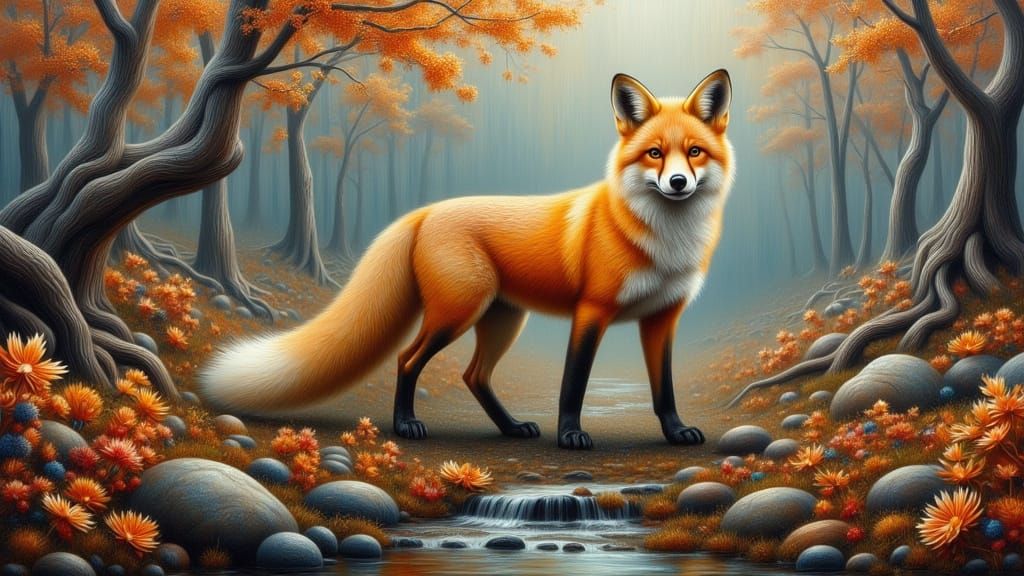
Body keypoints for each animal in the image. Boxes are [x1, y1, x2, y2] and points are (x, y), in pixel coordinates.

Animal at [200, 70, 734, 449]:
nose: (678, 183)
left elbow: (664, 388)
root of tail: (426, 211)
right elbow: (573, 383)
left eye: (694, 152)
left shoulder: (662, 318)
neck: (663, 241)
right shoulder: (592, 311)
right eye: (653, 154)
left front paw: (676, 432)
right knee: (407, 358)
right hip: (458, 312)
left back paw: (511, 428)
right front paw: (570, 436)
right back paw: (407, 424)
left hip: (502, 320)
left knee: (473, 376)